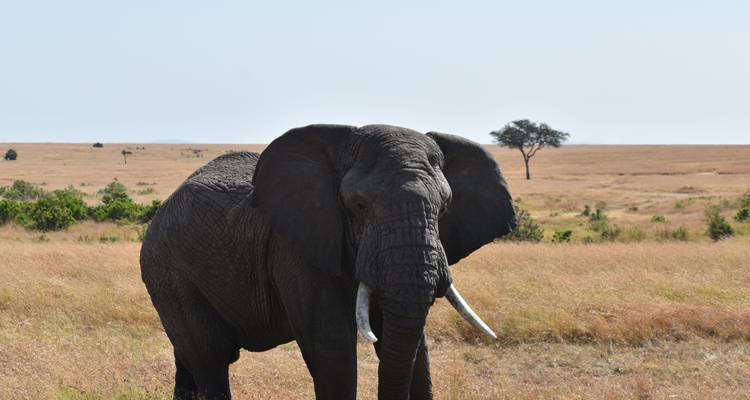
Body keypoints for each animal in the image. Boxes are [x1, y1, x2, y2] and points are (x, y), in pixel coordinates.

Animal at [139, 124, 516, 400]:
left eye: (444, 207)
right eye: (359, 206)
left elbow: (415, 347)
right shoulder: (295, 247)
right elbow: (332, 349)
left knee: (189, 359)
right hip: (170, 273)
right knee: (210, 359)